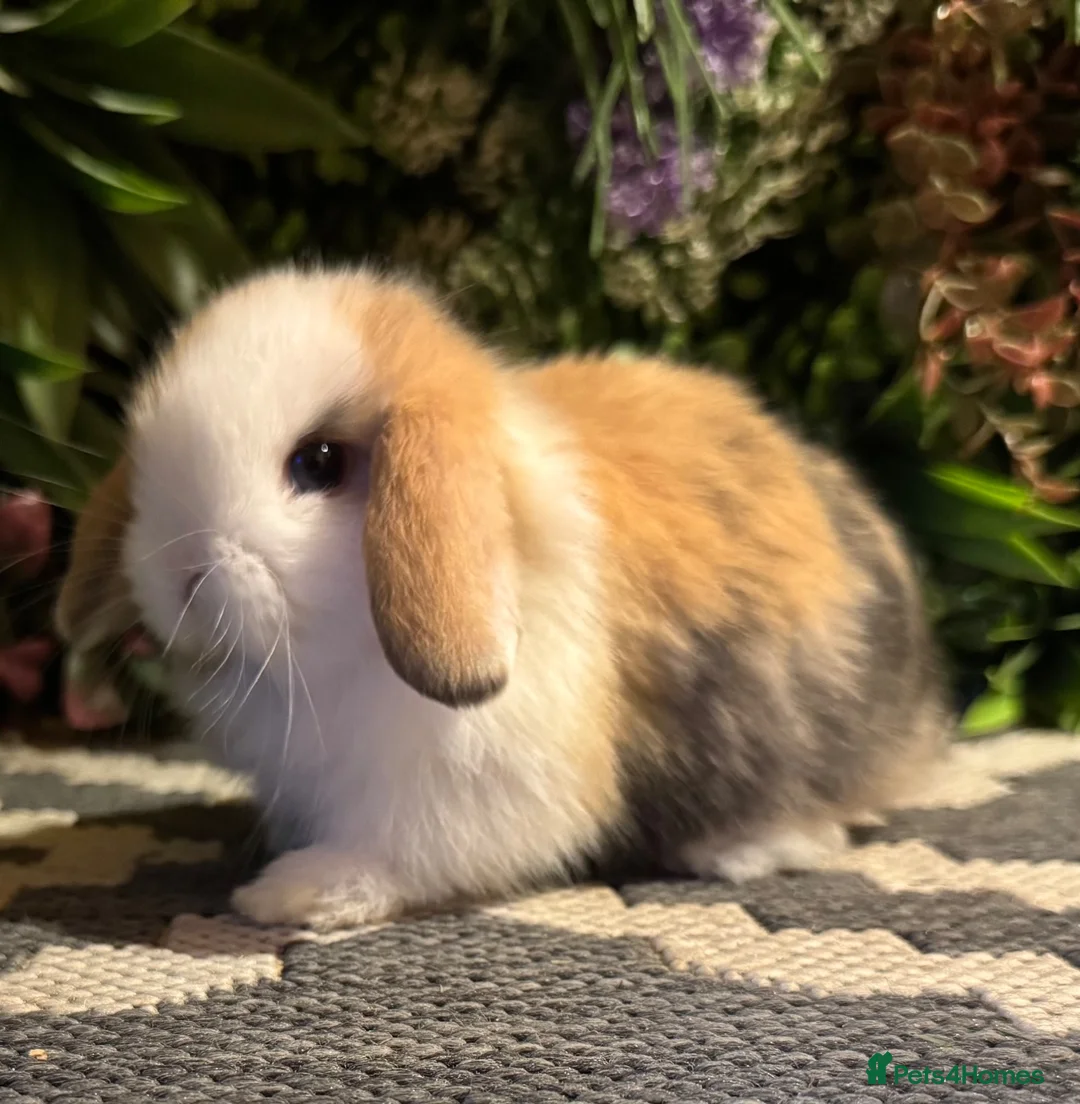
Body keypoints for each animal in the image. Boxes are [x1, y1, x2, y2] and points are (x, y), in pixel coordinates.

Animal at [54, 265, 949, 931]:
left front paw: (294, 893)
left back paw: (740, 849)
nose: (181, 573)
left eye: (318, 462)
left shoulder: (478, 783)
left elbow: (408, 850)